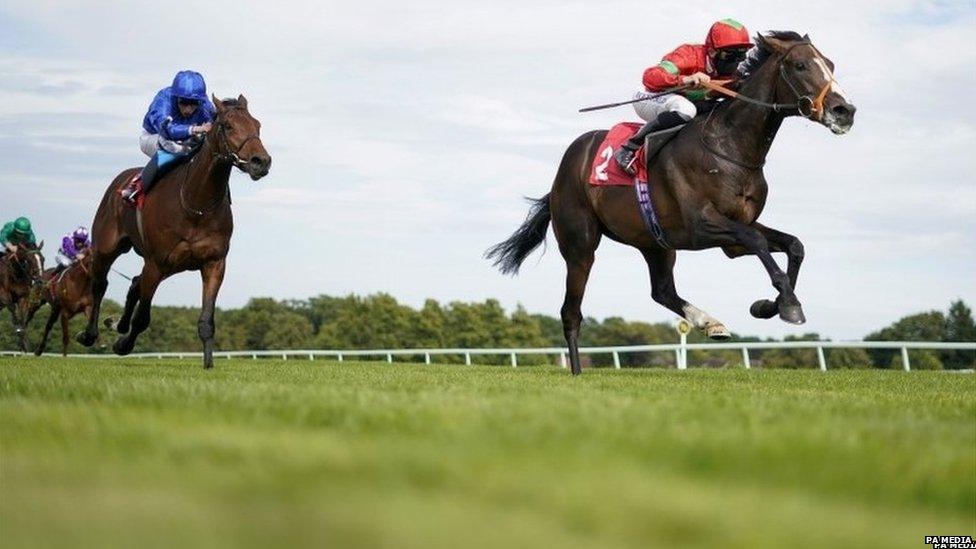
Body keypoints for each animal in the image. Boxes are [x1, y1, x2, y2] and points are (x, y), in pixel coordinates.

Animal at [76, 95, 270, 368]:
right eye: (228, 126)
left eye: (257, 125)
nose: (261, 162)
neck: (196, 205)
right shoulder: (156, 263)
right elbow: (143, 318)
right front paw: (123, 344)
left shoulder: (213, 263)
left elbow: (206, 321)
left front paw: (208, 364)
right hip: (108, 248)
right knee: (100, 283)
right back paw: (90, 333)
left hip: (171, 266)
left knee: (135, 283)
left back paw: (118, 324)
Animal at [486, 32, 856, 374]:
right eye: (800, 65)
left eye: (831, 64)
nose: (845, 111)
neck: (730, 148)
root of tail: (563, 170)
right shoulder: (702, 225)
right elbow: (759, 241)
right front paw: (787, 305)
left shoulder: (735, 234)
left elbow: (793, 246)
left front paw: (770, 305)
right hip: (580, 245)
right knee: (571, 311)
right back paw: (577, 372)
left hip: (655, 242)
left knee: (662, 290)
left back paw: (709, 321)